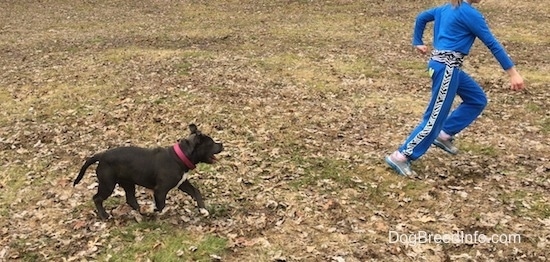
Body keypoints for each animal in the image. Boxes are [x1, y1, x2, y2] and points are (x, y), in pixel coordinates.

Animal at [74, 124, 224, 220]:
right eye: (211, 143)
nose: (222, 144)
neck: (180, 157)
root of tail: (101, 155)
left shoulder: (182, 182)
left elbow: (196, 192)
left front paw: (203, 210)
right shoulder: (160, 190)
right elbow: (161, 204)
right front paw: (153, 209)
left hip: (128, 183)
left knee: (130, 199)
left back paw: (141, 211)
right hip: (107, 184)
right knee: (97, 198)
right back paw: (105, 215)